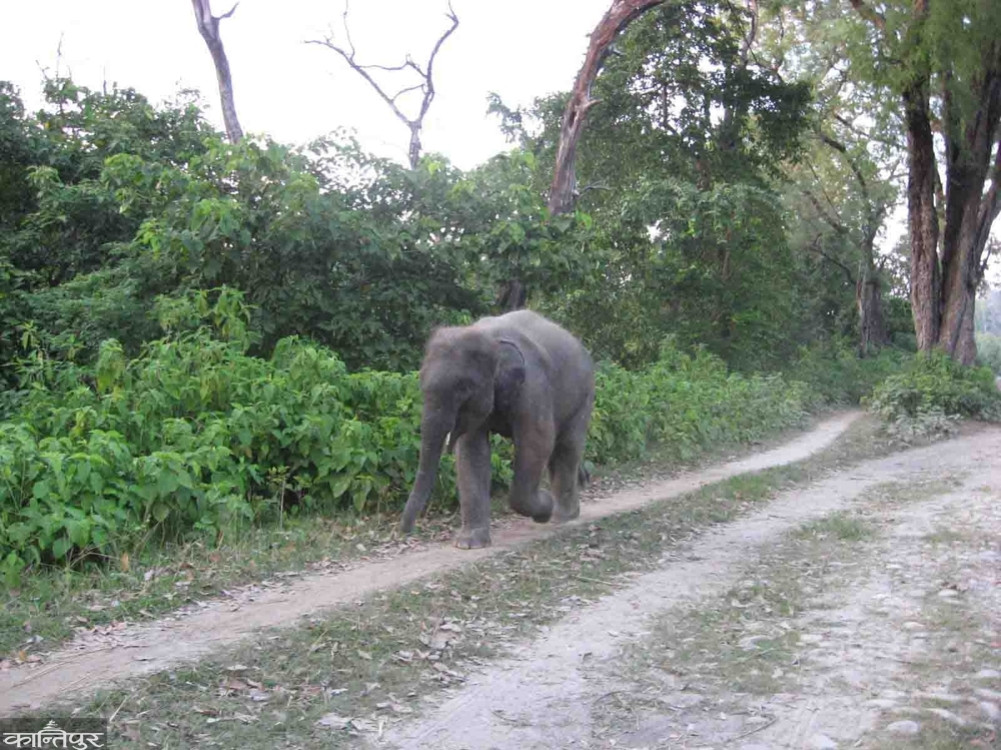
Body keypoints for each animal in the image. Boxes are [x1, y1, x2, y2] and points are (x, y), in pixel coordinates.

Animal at [399, 310, 595, 549]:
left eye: (464, 388)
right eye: (421, 384)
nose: (405, 532)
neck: (490, 339)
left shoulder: (533, 387)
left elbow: (537, 442)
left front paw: (544, 507)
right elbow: (472, 451)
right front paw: (469, 544)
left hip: (585, 394)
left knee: (567, 446)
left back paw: (562, 516)